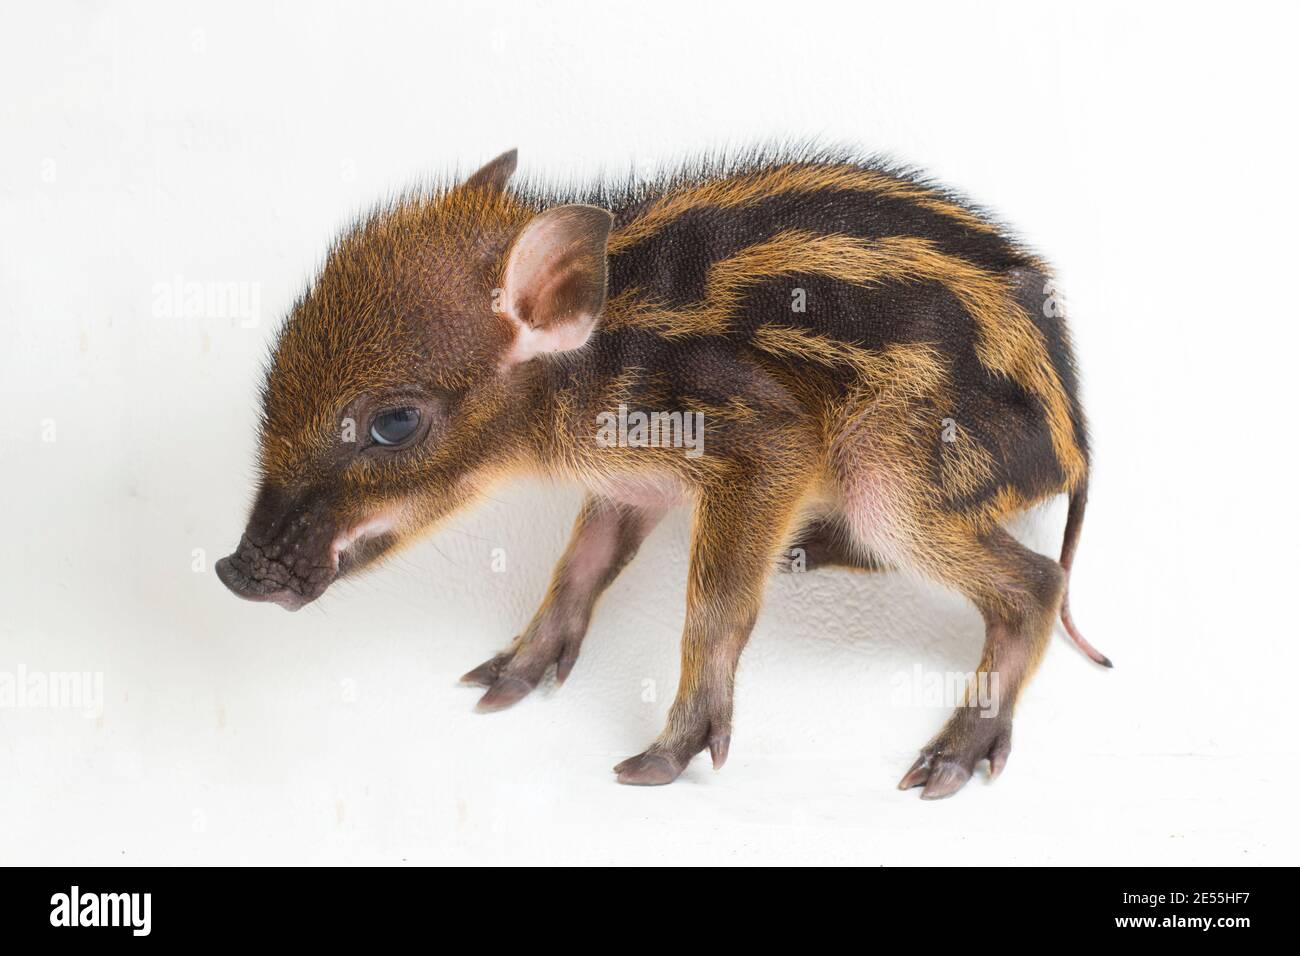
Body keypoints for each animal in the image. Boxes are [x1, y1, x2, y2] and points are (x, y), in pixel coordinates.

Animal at [216, 146, 1108, 799]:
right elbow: (579, 565)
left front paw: (661, 761)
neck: (592, 365)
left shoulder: (765, 441)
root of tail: (1073, 447)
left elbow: (715, 608)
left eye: (395, 423)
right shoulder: (632, 481)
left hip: (893, 476)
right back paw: (806, 553)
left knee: (1035, 583)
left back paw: (948, 763)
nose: (233, 571)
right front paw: (503, 679)